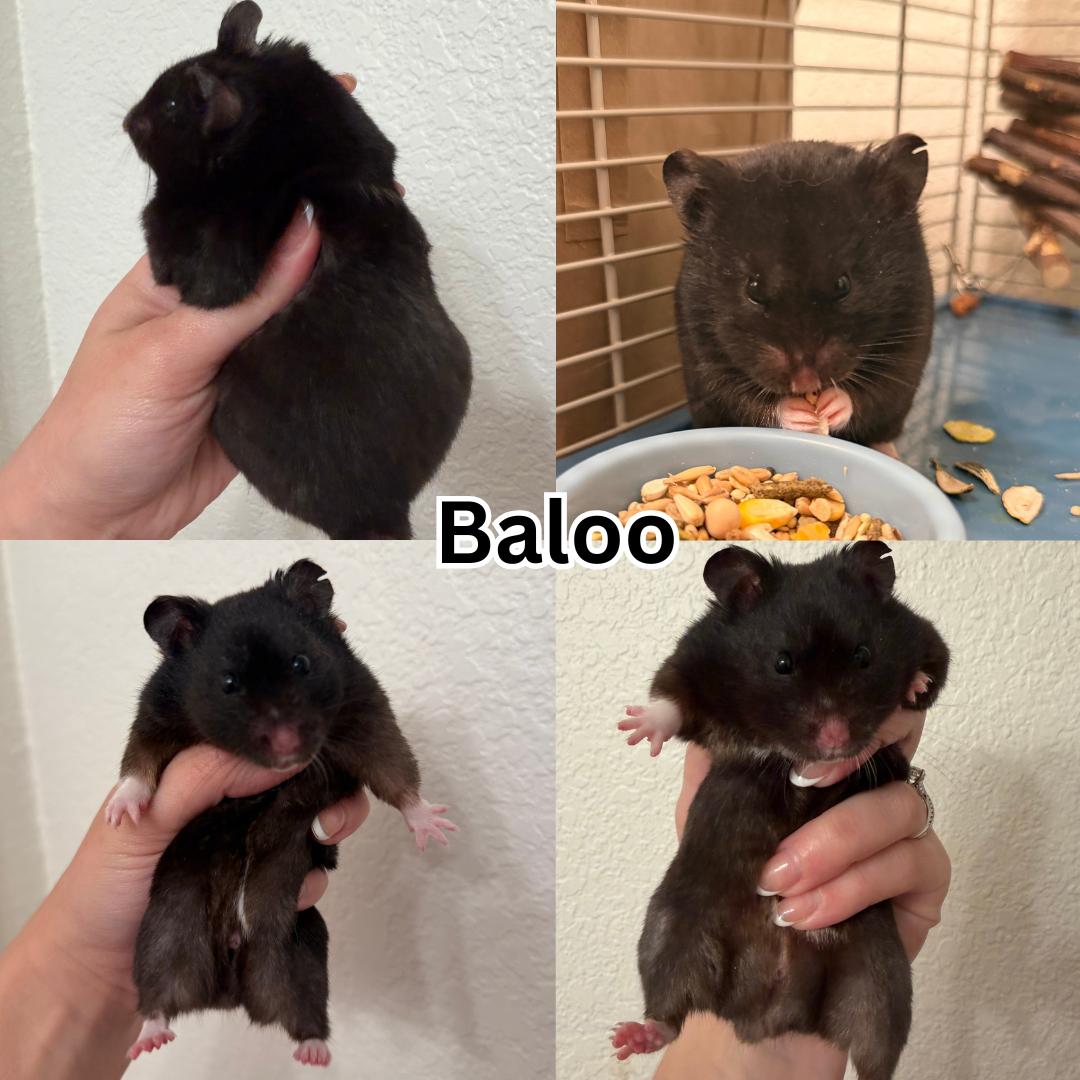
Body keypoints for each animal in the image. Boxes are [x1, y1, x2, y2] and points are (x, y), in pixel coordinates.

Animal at [105, 559, 456, 1066]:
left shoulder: (364, 711)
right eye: (228, 684)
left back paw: (315, 1054)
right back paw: (151, 1038)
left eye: (301, 663)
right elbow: (139, 762)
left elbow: (394, 770)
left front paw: (436, 828)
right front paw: (123, 815)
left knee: (303, 1011)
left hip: (301, 952)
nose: (289, 745)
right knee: (159, 997)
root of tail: (229, 988)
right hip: (161, 936)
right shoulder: (155, 714)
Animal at [612, 542, 949, 1080]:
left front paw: (914, 686)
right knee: (669, 1006)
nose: (834, 741)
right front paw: (636, 729)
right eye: (782, 663)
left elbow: (933, 664)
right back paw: (629, 1038)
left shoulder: (923, 633)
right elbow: (671, 698)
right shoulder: (694, 658)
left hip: (883, 984)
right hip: (669, 929)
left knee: (877, 1054)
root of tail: (767, 1012)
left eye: (864, 656)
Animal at [663, 137, 933, 448]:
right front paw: (801, 415)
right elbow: (746, 400)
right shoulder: (705, 356)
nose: (806, 383)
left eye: (844, 285)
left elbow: (869, 394)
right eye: (752, 288)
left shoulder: (908, 347)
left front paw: (830, 405)